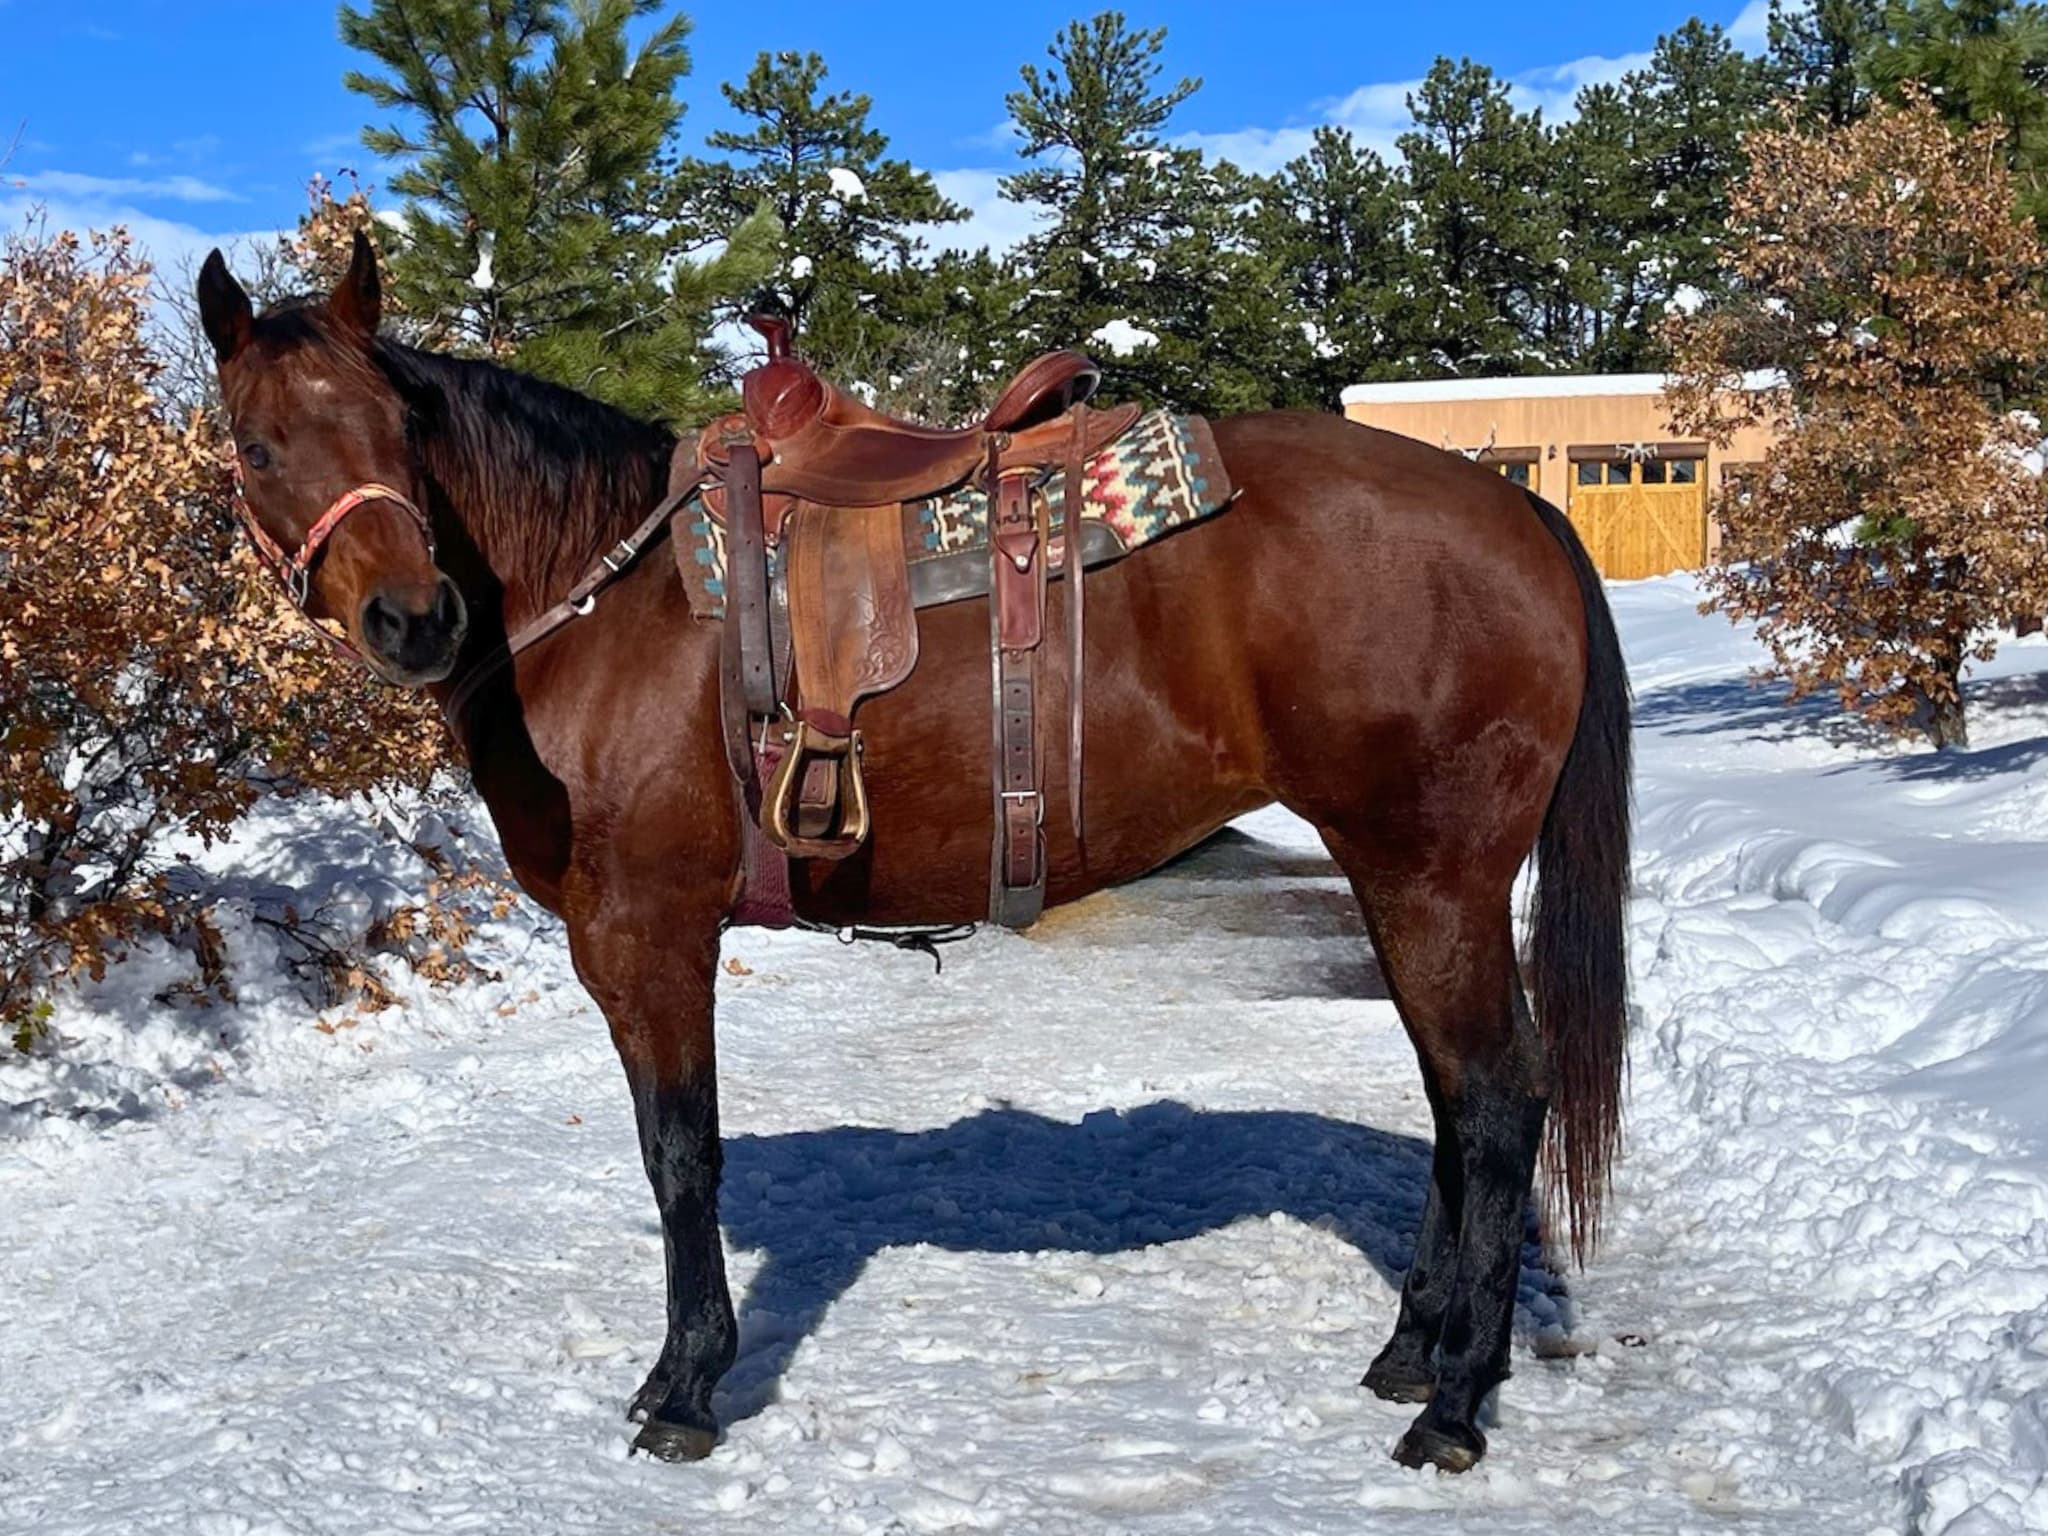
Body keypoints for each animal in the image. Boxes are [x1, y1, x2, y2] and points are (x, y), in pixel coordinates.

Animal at [195, 234, 1630, 1474]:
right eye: (260, 444)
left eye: (400, 433)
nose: (416, 618)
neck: (606, 600)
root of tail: (1517, 515)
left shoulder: (646, 934)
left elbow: (681, 1156)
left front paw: (688, 1384)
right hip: (1406, 885)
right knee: (1454, 1102)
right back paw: (1413, 1351)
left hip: (1430, 880)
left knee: (1496, 1101)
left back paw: (1453, 1402)